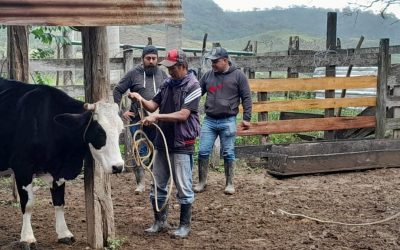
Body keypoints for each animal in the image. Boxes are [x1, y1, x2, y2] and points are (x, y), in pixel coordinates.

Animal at [0, 77, 124, 244]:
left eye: (121, 130)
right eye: (99, 132)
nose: (118, 166)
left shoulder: (58, 170)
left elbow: (59, 201)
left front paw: (64, 233)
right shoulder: (22, 167)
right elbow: (28, 203)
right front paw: (27, 237)